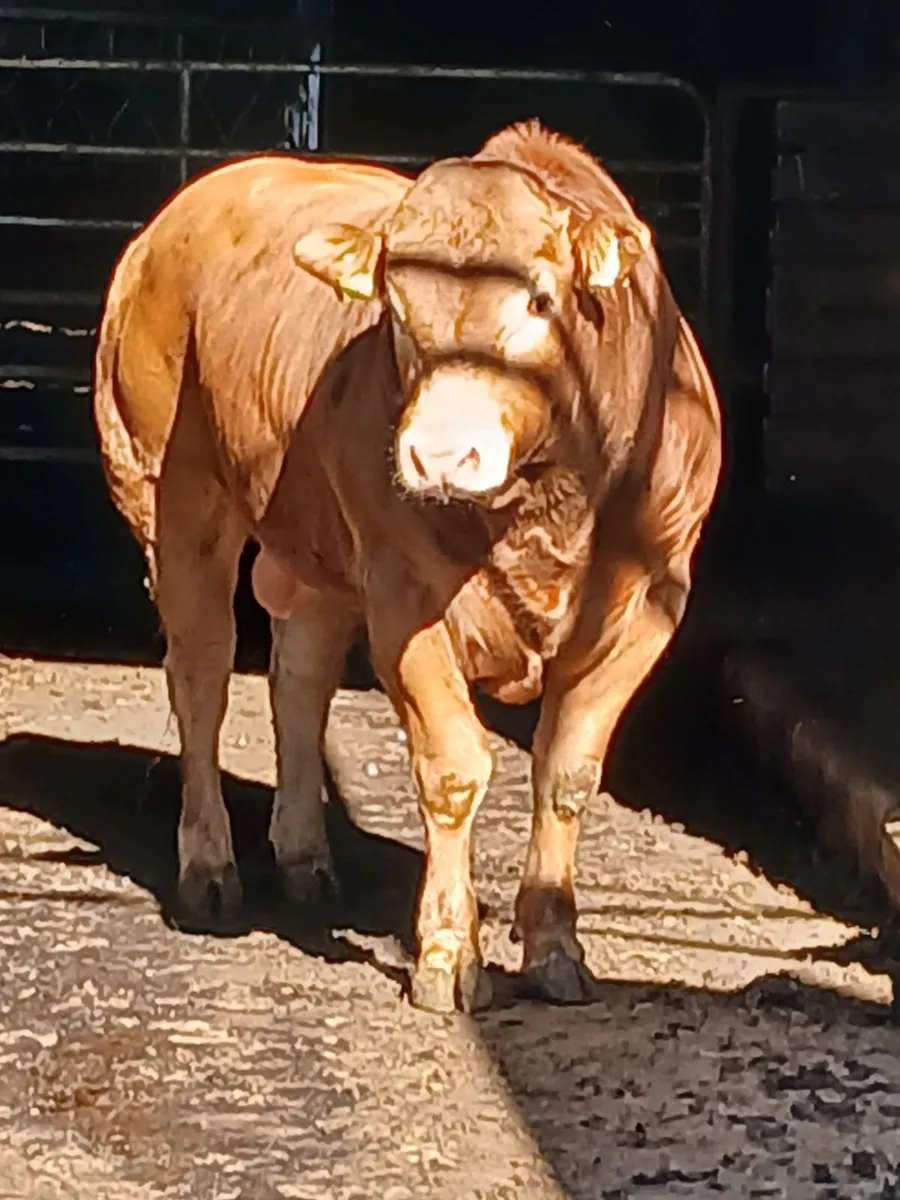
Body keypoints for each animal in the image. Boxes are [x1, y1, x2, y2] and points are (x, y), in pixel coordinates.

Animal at [93, 120, 722, 1014]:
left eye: (538, 298)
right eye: (393, 305)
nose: (440, 454)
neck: (547, 498)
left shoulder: (652, 597)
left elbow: (566, 770)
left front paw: (555, 947)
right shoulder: (403, 589)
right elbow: (455, 767)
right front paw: (448, 955)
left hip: (316, 542)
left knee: (301, 676)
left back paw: (304, 856)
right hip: (170, 493)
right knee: (203, 674)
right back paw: (210, 867)